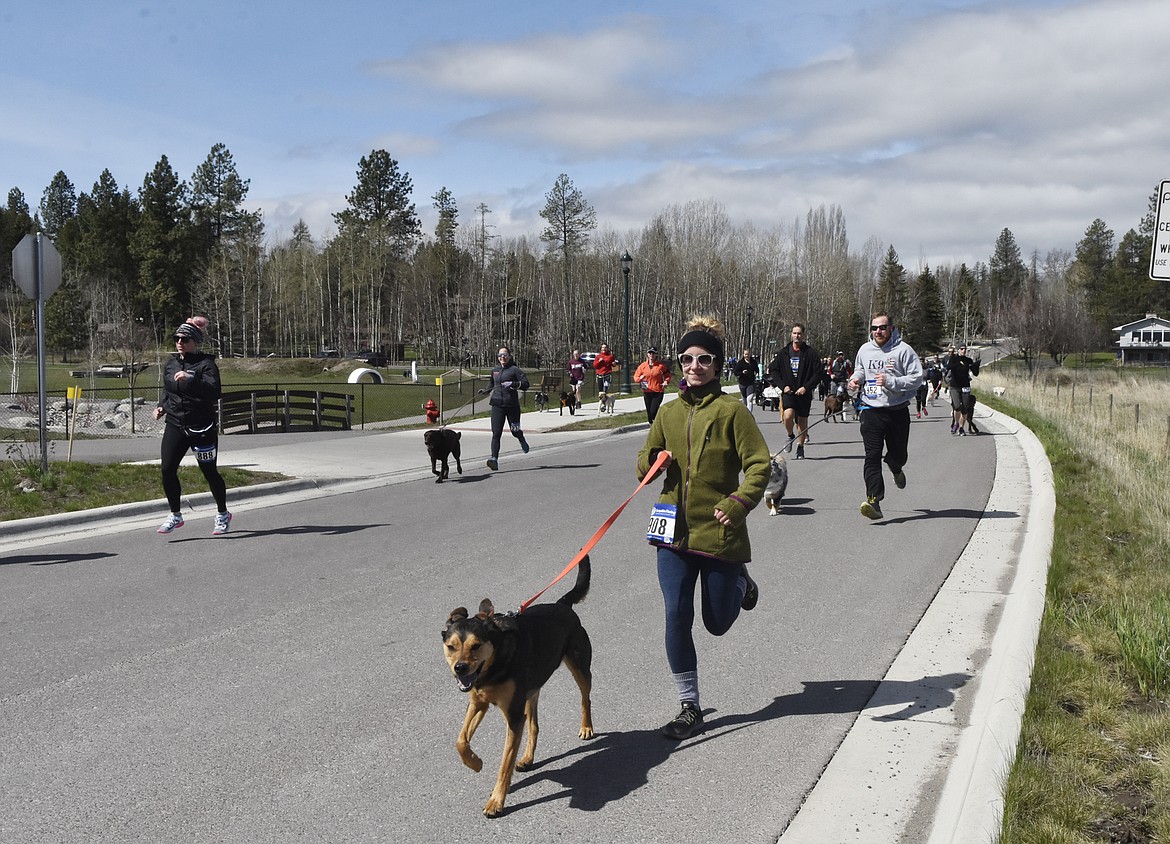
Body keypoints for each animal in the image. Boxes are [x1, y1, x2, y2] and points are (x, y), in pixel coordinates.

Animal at [444, 557, 599, 814]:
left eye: (476, 646)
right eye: (451, 646)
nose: (460, 668)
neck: (494, 665)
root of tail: (562, 605)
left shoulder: (513, 715)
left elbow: (504, 763)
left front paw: (497, 800)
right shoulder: (478, 702)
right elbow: (460, 741)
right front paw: (475, 763)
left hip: (579, 667)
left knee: (585, 698)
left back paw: (586, 727)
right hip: (530, 690)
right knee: (533, 724)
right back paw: (527, 758)